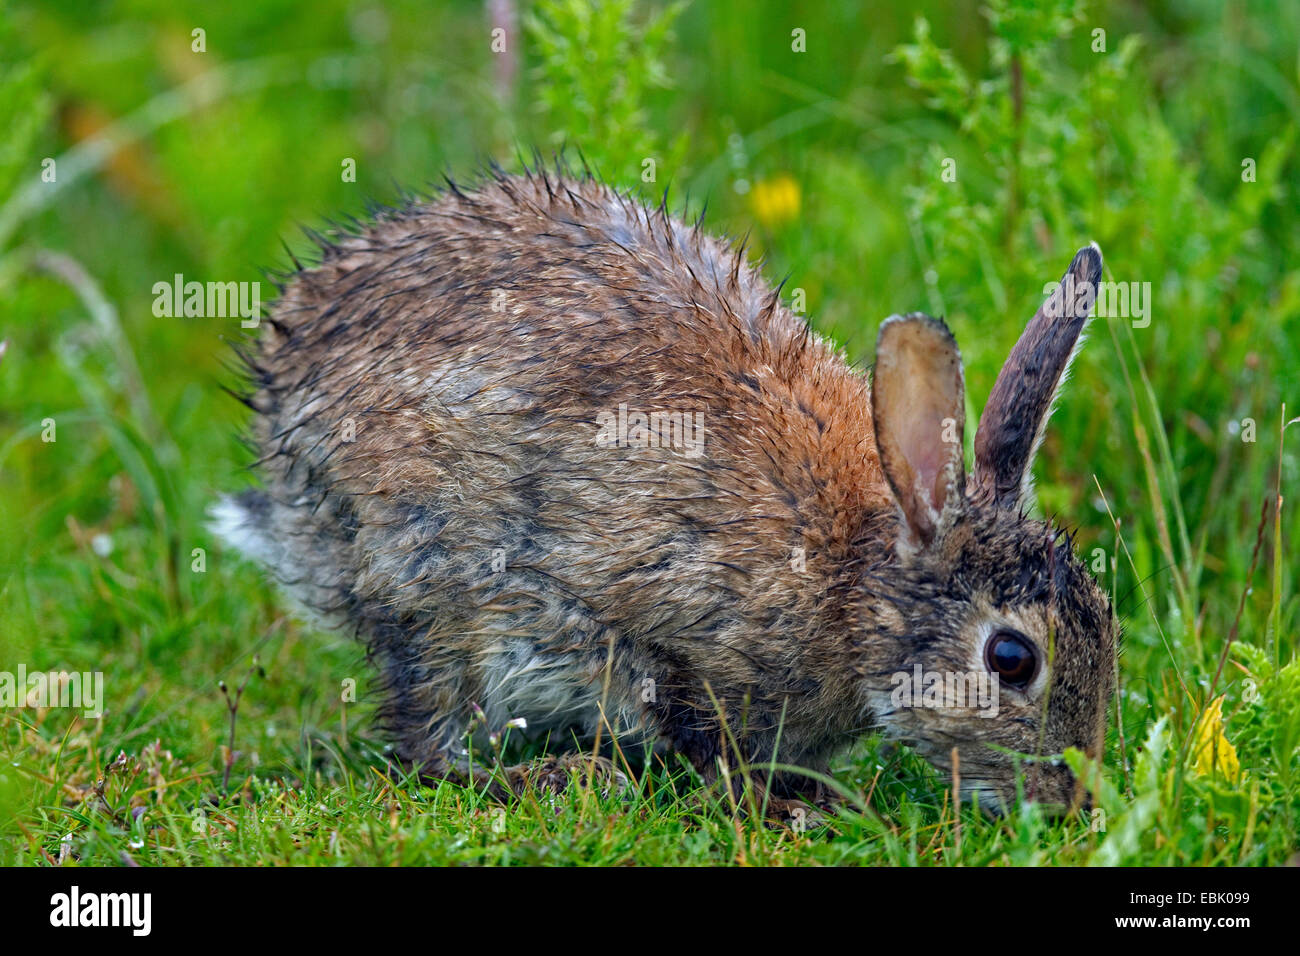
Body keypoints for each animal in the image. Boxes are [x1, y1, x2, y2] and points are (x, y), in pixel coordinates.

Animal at [213, 164, 1118, 816]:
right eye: (1011, 660)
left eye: (1107, 621)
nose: (1074, 801)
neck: (849, 583)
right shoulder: (663, 625)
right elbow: (692, 727)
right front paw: (784, 804)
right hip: (432, 584)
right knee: (425, 735)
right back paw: (550, 779)